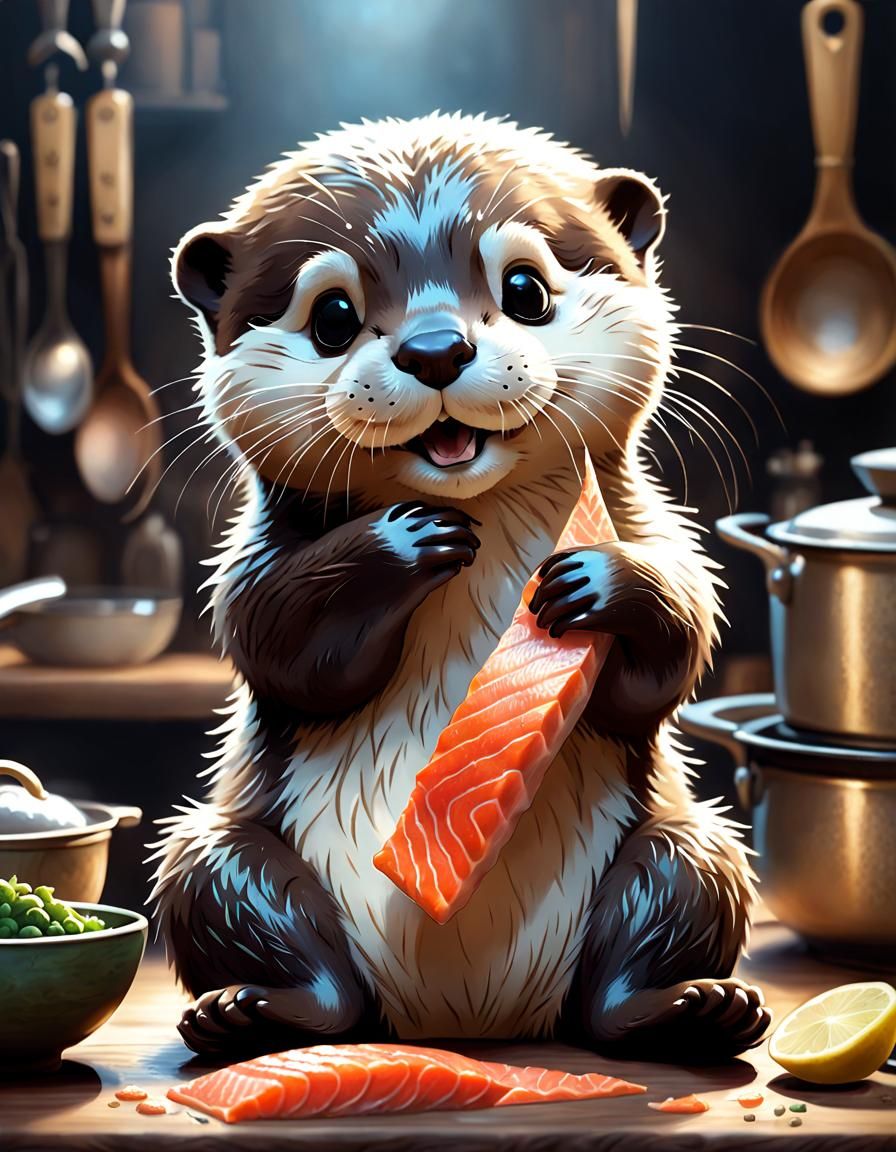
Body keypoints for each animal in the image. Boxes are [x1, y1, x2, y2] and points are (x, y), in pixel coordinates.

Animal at [150, 113, 770, 1062]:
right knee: (268, 929)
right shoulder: (257, 554)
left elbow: (675, 640)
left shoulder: (652, 520)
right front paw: (407, 540)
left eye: (525, 289)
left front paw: (599, 581)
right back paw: (248, 1012)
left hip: (686, 845)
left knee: (643, 943)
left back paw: (695, 1008)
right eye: (333, 316)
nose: (436, 349)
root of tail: (469, 1015)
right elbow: (277, 638)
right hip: (222, 853)